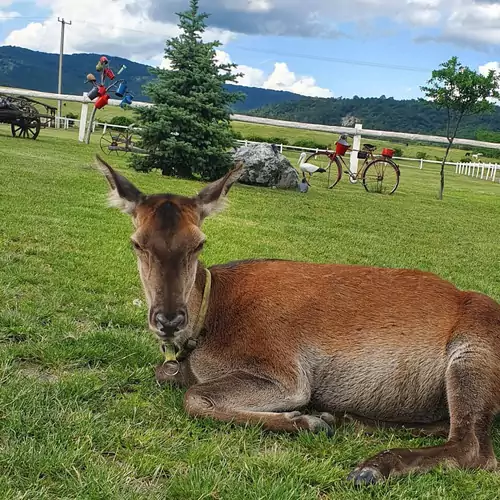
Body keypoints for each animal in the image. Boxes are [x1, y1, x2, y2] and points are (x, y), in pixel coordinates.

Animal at [95, 155, 500, 484]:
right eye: (136, 242)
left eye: (199, 242)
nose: (168, 320)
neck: (207, 326)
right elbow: (167, 376)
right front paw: (316, 419)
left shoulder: (285, 370)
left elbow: (195, 397)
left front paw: (305, 421)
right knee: (448, 425)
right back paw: (349, 420)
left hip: (474, 352)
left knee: (474, 448)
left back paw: (370, 466)